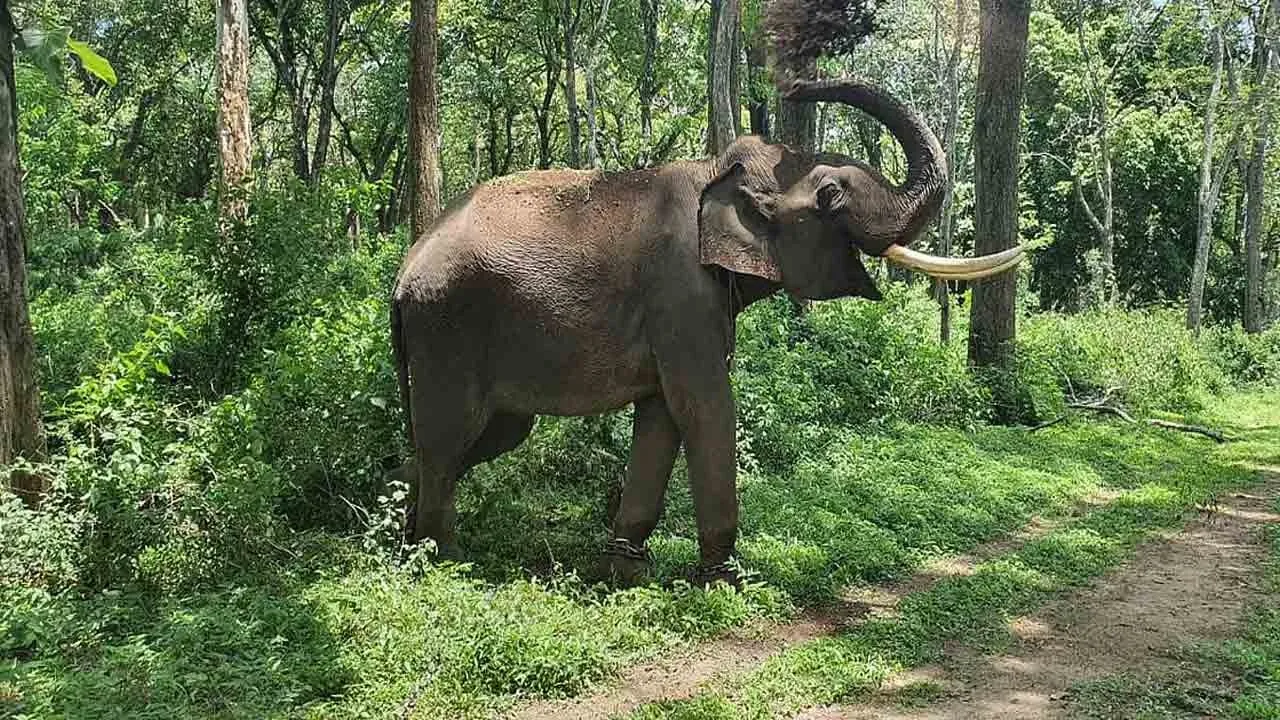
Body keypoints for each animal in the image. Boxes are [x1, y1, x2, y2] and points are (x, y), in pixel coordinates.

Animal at [390, 78, 1023, 585]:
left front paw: (625, 573)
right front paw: (725, 582)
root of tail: (403, 271)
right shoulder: (680, 293)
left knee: (480, 438)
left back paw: (399, 532)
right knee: (450, 438)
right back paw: (442, 561)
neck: (716, 170)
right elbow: (705, 405)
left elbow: (662, 416)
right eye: (830, 194)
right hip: (447, 328)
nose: (794, 87)